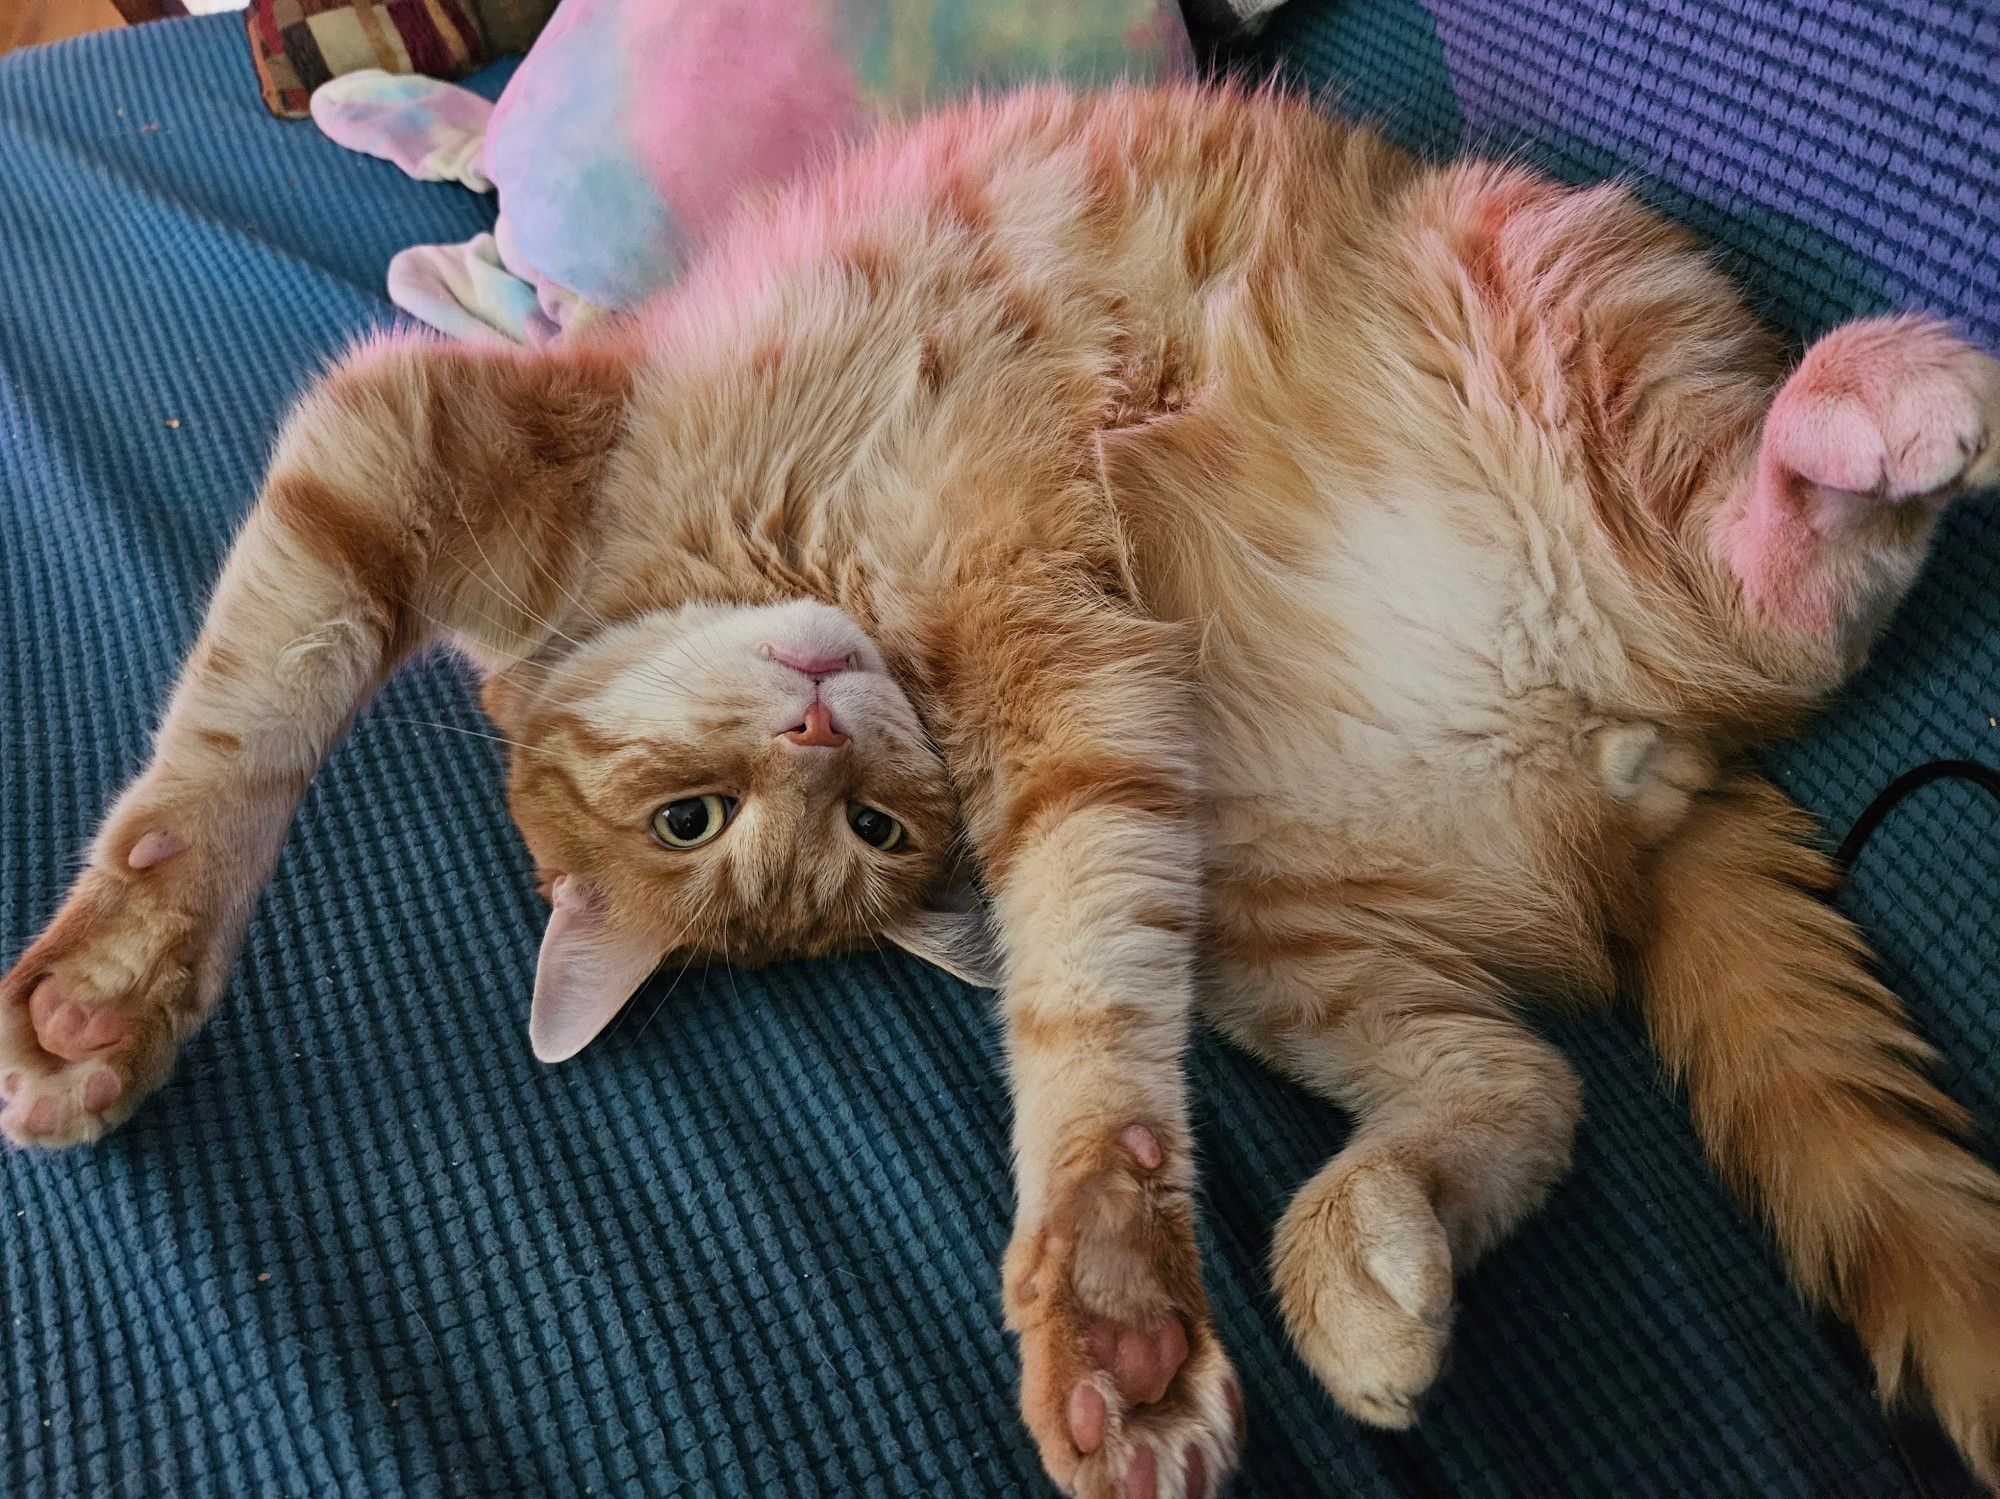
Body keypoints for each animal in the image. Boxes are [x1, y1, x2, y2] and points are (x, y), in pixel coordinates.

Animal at [3, 84, 2000, 1499]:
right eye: (724, 827)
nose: (830, 737)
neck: (808, 569)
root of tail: (1625, 748)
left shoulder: (417, 438)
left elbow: (231, 731)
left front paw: (110, 979)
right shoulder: (1093, 702)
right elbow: (1086, 997)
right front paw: (1120, 1291)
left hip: (1531, 270)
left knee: (1779, 604)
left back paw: (1871, 405)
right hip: (1277, 924)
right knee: (1524, 1076)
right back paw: (1367, 1266)